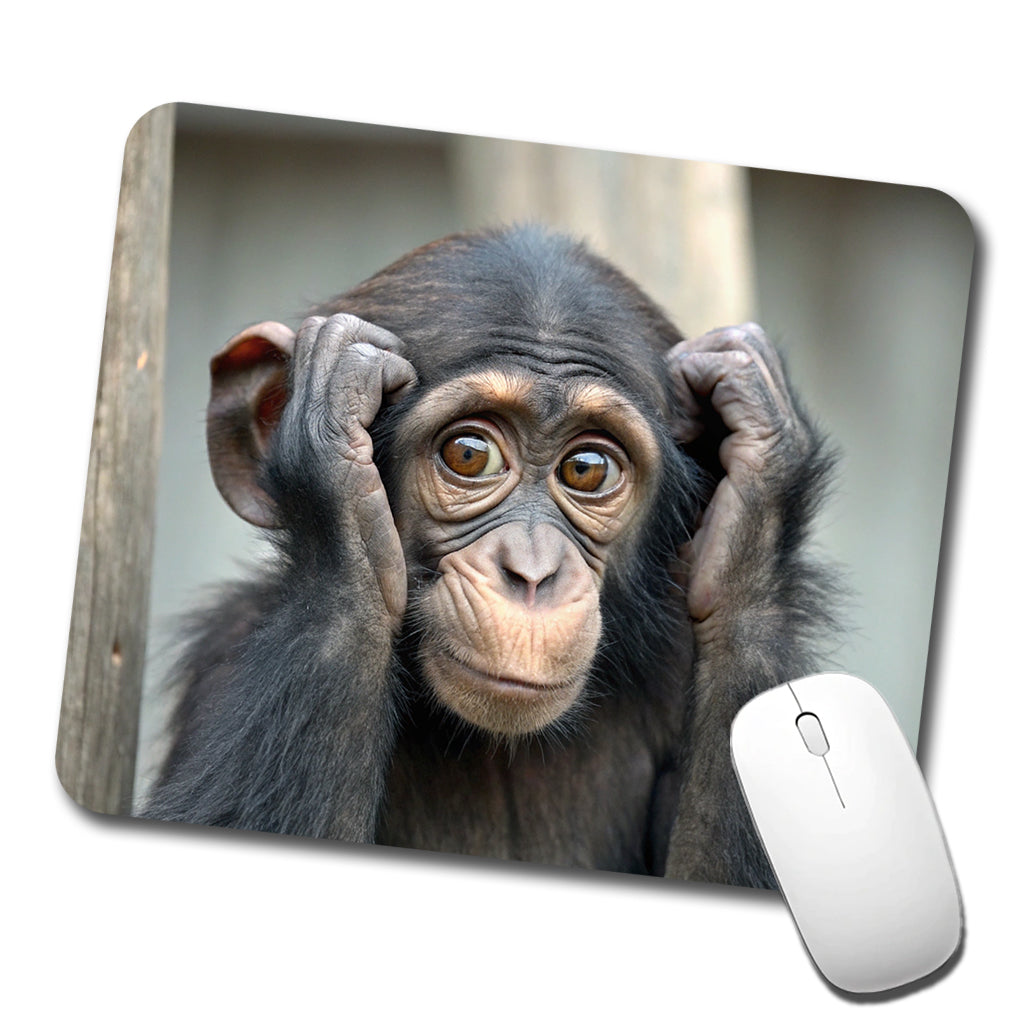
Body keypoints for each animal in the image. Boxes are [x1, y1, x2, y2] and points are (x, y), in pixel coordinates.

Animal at [142, 224, 838, 886]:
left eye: (587, 468)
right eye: (469, 454)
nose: (531, 572)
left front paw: (765, 448)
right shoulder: (222, 654)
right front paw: (331, 437)